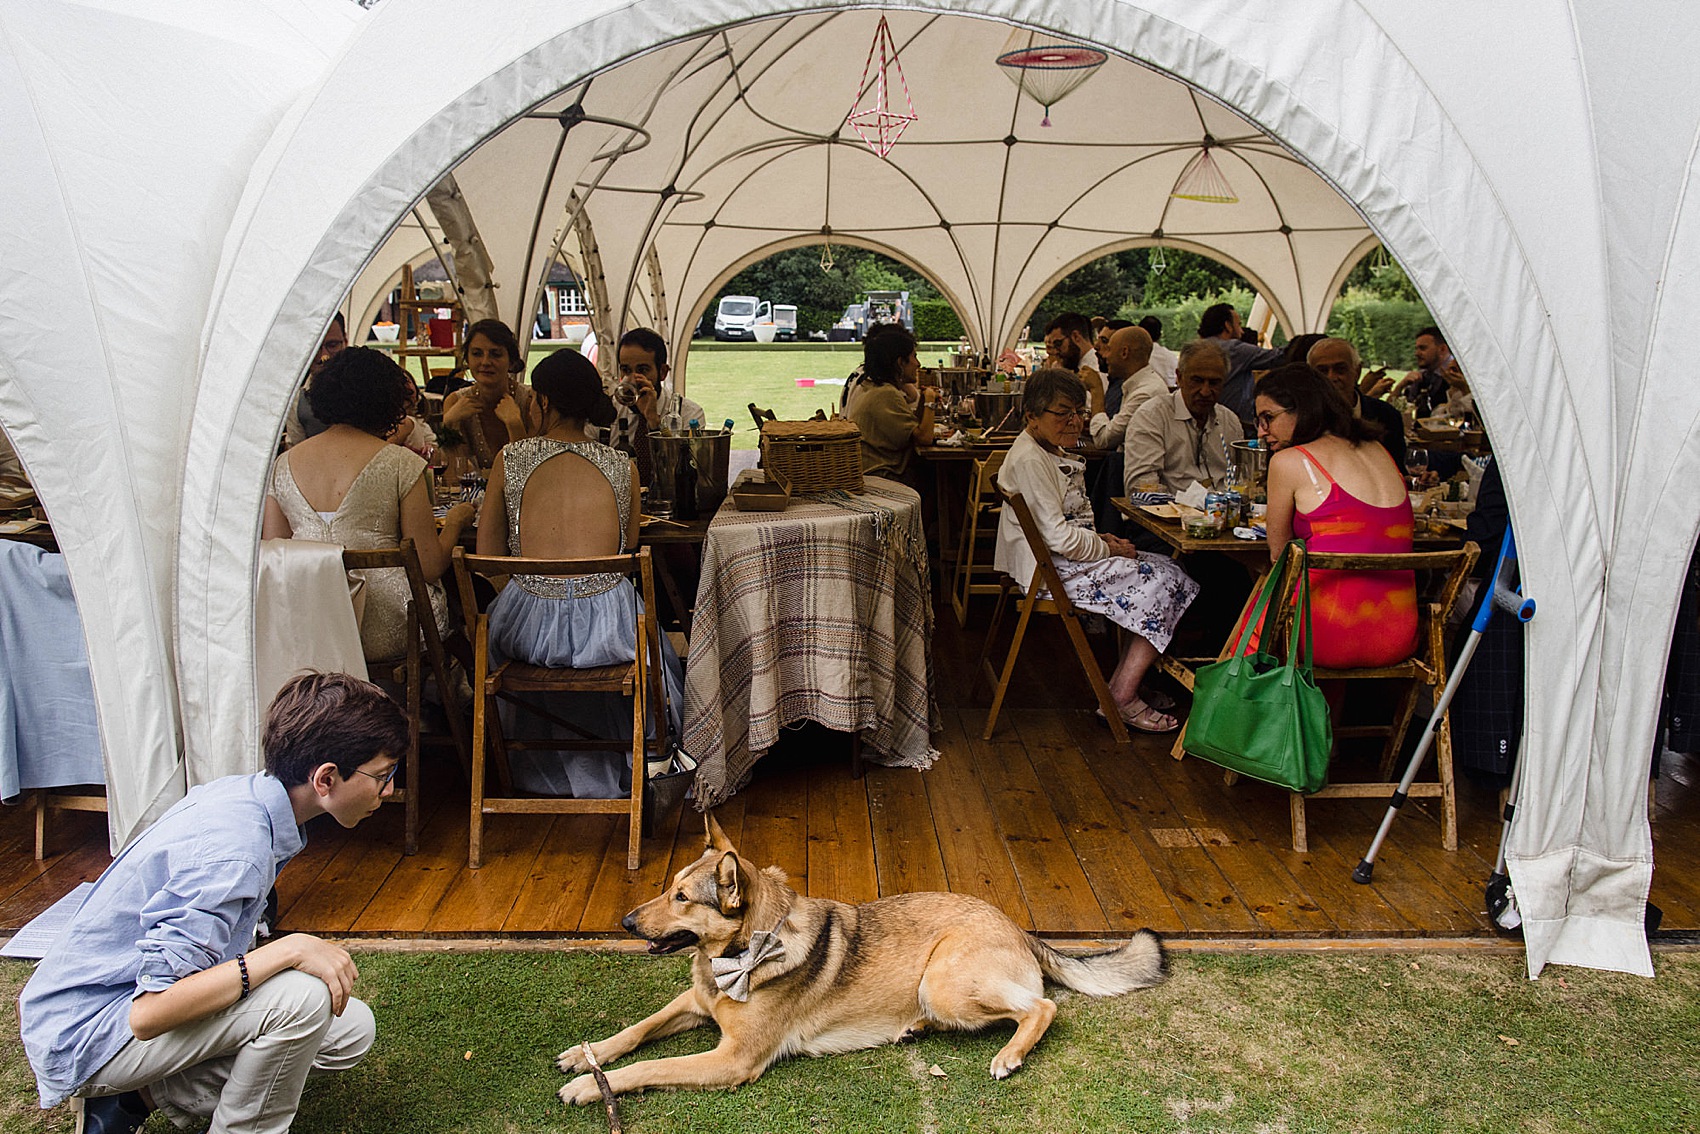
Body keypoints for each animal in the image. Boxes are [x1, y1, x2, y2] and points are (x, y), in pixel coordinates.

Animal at [557, 816, 1169, 1108]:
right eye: (668, 889)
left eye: (682, 898)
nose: (625, 923)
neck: (743, 952)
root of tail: (1019, 927)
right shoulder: (694, 1001)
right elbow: (638, 1031)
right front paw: (586, 1056)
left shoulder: (732, 1060)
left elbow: (650, 1067)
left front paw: (591, 1087)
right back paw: (916, 1028)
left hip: (942, 980)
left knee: (1041, 1007)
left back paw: (1009, 1055)